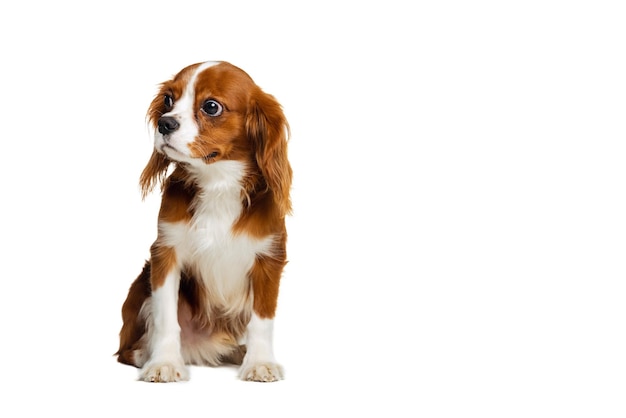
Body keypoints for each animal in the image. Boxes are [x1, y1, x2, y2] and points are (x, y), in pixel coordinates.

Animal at [116, 60, 292, 384]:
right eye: (168, 100)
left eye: (211, 106)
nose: (165, 123)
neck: (218, 182)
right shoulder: (165, 253)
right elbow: (166, 316)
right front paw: (164, 363)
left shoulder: (269, 258)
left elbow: (262, 319)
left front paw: (259, 362)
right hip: (140, 289)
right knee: (127, 350)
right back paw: (148, 354)